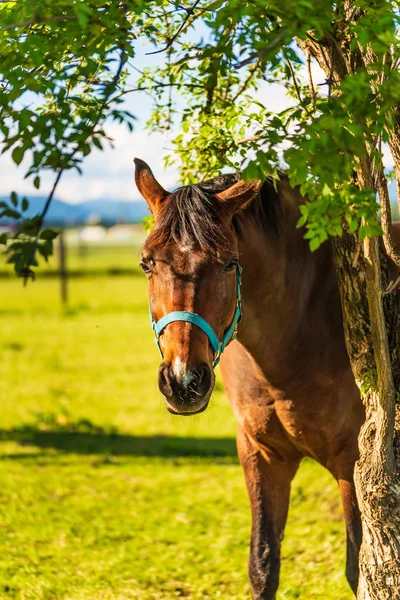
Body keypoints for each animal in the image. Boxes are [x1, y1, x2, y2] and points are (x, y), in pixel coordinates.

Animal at [134, 159, 396, 600]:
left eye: (228, 262)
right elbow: (263, 564)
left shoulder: (354, 462)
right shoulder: (261, 454)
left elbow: (359, 567)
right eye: (146, 263)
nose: (183, 381)